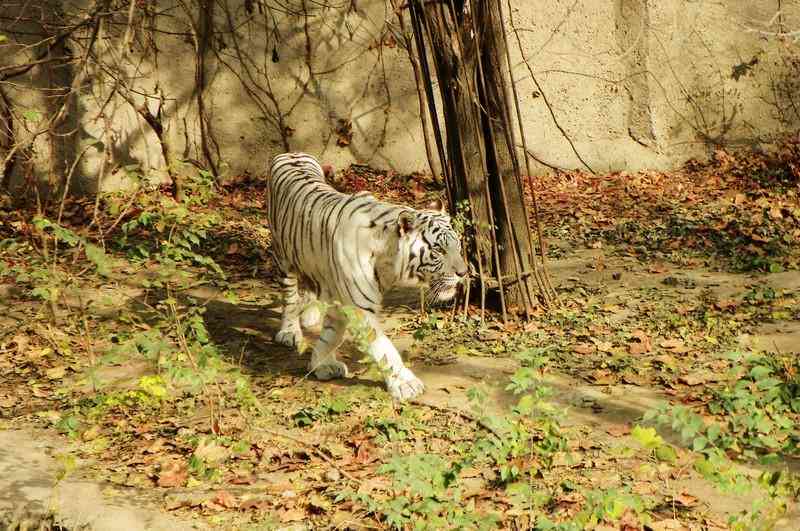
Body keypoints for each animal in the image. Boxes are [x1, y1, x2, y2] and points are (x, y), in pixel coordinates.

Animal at [268, 152, 468, 402]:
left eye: (457, 245)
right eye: (439, 250)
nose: (463, 272)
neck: (388, 260)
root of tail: (291, 153)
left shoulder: (340, 301)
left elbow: (331, 335)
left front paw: (321, 364)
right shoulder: (360, 308)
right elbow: (384, 349)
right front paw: (406, 385)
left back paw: (311, 315)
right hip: (284, 258)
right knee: (290, 296)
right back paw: (289, 331)